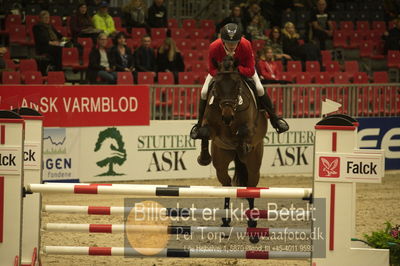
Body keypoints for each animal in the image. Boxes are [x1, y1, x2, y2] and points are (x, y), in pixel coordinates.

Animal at [198, 55, 268, 243]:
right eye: (216, 86)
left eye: (237, 85)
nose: (227, 116)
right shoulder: (211, 125)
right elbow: (204, 131)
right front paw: (203, 158)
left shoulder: (249, 127)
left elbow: (244, 131)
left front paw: (243, 144)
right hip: (221, 162)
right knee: (227, 184)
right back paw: (225, 221)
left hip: (254, 164)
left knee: (251, 187)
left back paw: (252, 225)